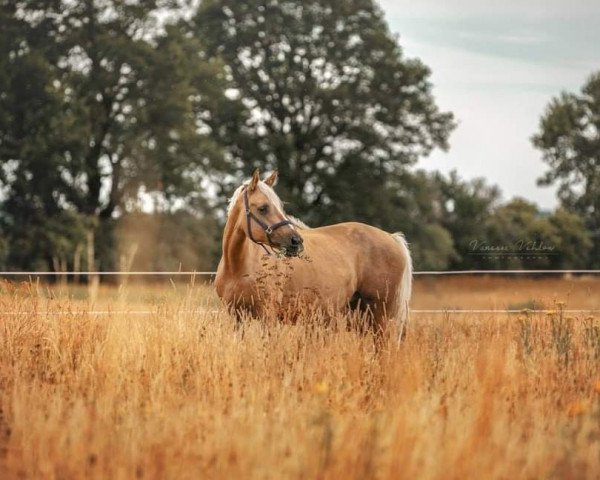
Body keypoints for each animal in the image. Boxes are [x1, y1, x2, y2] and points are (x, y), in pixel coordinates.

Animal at [214, 171, 412, 340]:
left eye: (280, 207)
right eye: (263, 208)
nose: (295, 241)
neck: (239, 266)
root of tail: (392, 238)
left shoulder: (267, 315)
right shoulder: (236, 316)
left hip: (382, 317)